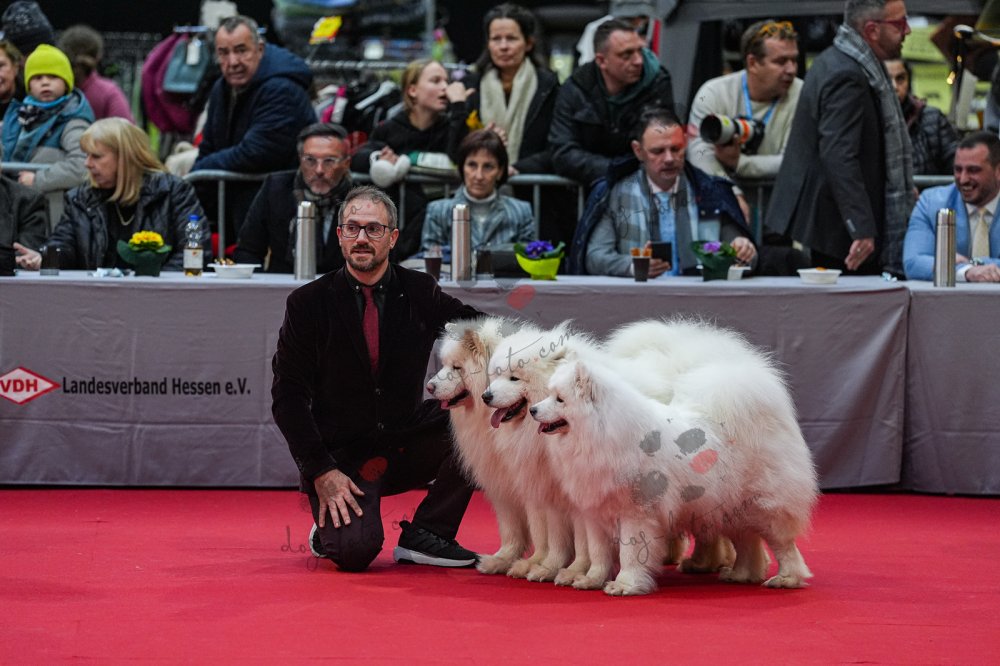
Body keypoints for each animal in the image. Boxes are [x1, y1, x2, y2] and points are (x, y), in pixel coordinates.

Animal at [531, 325, 818, 596]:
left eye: (560, 399)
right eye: (548, 394)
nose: (533, 409)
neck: (600, 433)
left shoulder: (636, 513)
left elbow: (629, 553)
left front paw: (625, 585)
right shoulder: (595, 513)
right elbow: (598, 553)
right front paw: (591, 580)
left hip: (764, 506)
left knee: (783, 546)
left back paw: (787, 578)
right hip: (731, 510)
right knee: (747, 542)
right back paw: (740, 574)